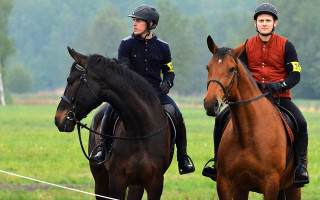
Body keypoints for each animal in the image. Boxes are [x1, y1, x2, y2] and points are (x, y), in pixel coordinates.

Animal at [55, 46, 175, 198]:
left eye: (70, 80)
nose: (58, 118)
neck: (141, 130)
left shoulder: (155, 183)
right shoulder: (117, 181)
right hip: (101, 181)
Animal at [204, 36, 302, 200]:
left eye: (232, 69)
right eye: (208, 67)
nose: (210, 103)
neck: (247, 134)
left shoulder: (271, 185)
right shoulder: (226, 185)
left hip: (293, 187)